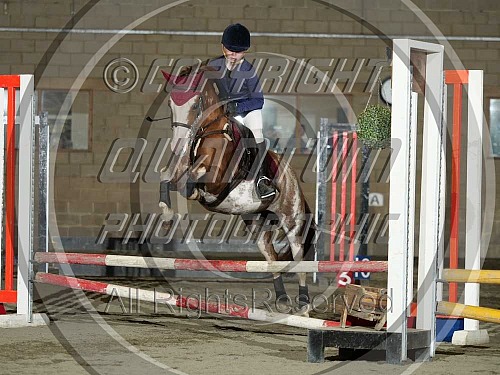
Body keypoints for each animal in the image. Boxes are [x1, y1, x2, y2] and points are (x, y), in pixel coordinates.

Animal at [157, 66, 316, 312]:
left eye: (196, 103)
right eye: (170, 104)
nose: (177, 144)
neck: (208, 131)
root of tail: (291, 176)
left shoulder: (217, 179)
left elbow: (194, 179)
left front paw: (193, 192)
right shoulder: (178, 171)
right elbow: (166, 177)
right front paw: (166, 214)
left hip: (292, 219)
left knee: (298, 257)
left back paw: (304, 303)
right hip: (256, 222)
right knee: (271, 256)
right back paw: (281, 298)